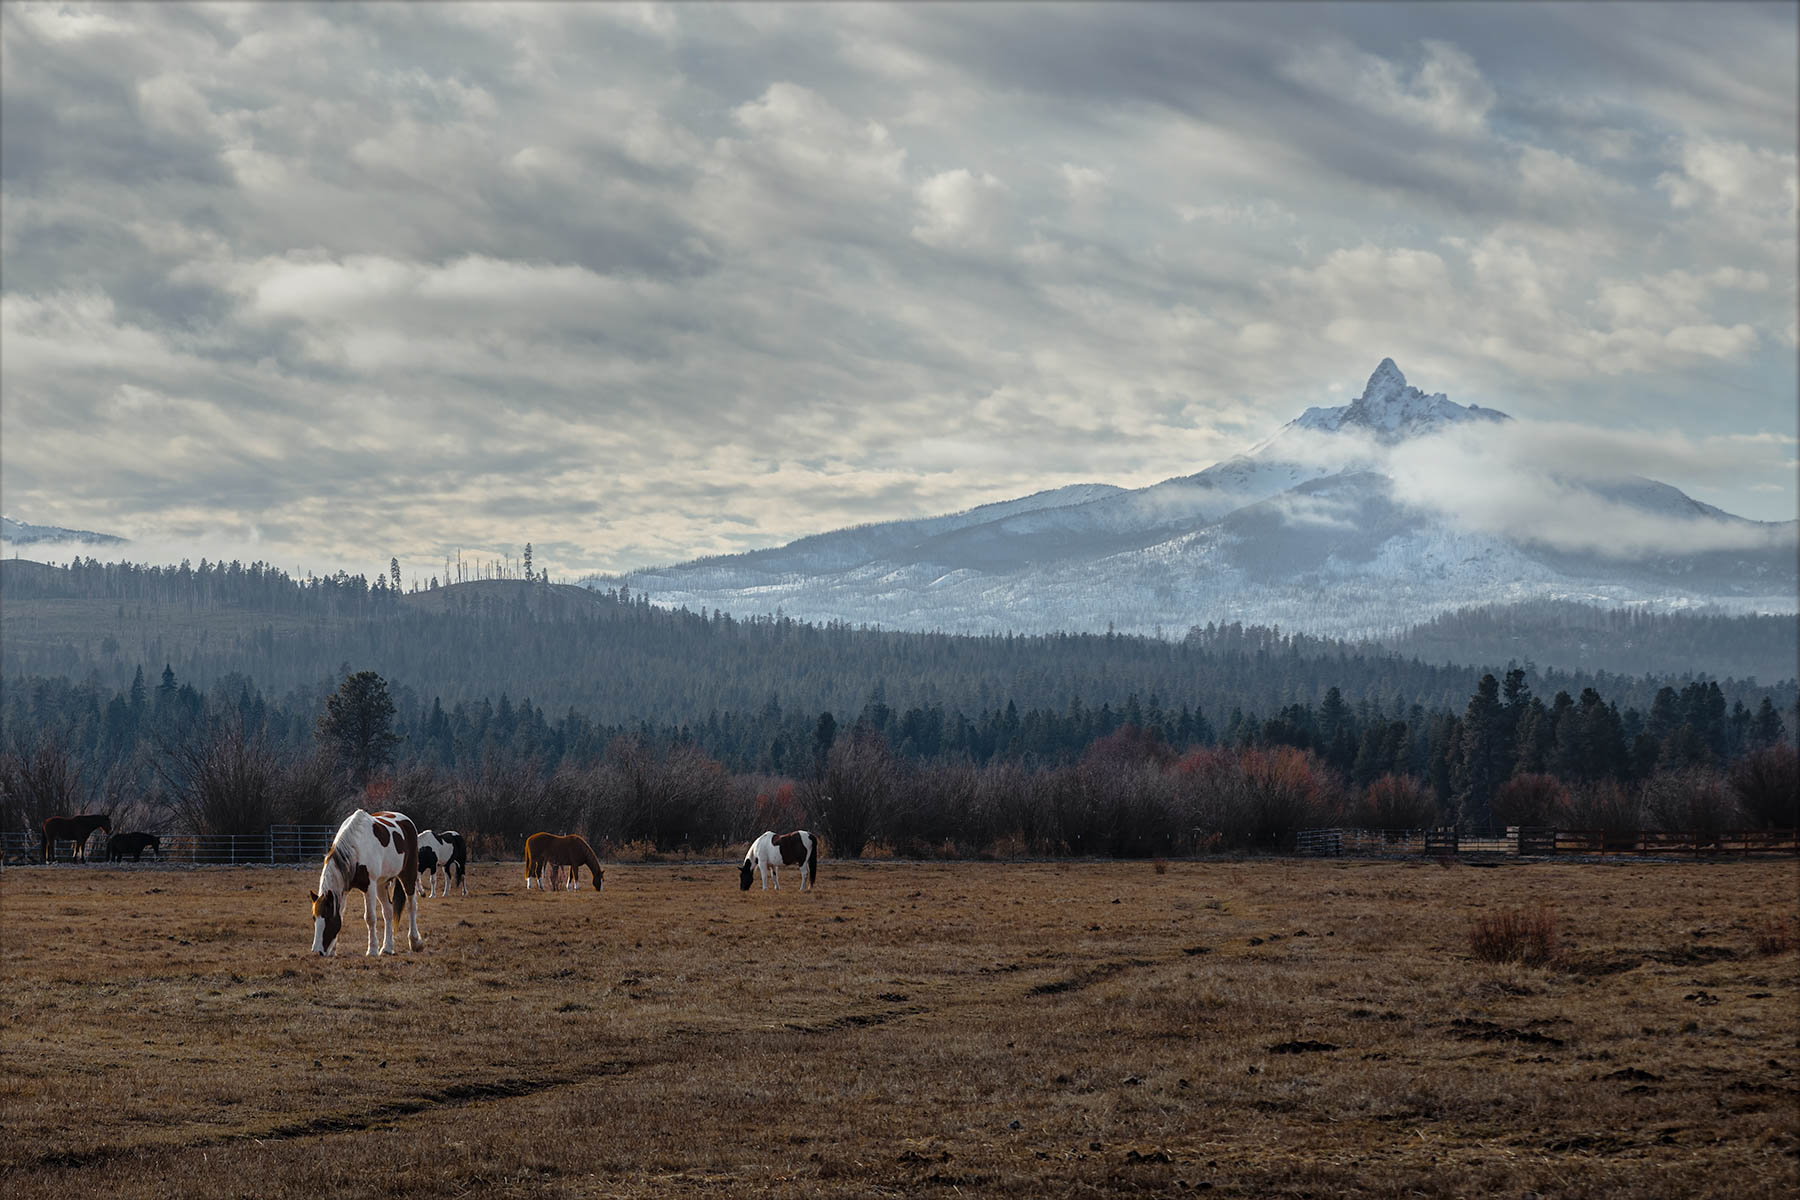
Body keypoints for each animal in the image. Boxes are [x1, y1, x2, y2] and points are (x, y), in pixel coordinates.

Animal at [309, 805, 424, 957]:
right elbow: (341, 913)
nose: (317, 951)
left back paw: (415, 942)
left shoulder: (369, 886)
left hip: (408, 875)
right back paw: (387, 947)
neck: (355, 848)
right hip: (381, 884)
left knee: (412, 906)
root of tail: (407, 822)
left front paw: (372, 949)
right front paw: (333, 951)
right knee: (388, 911)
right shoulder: (344, 889)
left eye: (327, 917)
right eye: (314, 917)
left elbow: (370, 917)